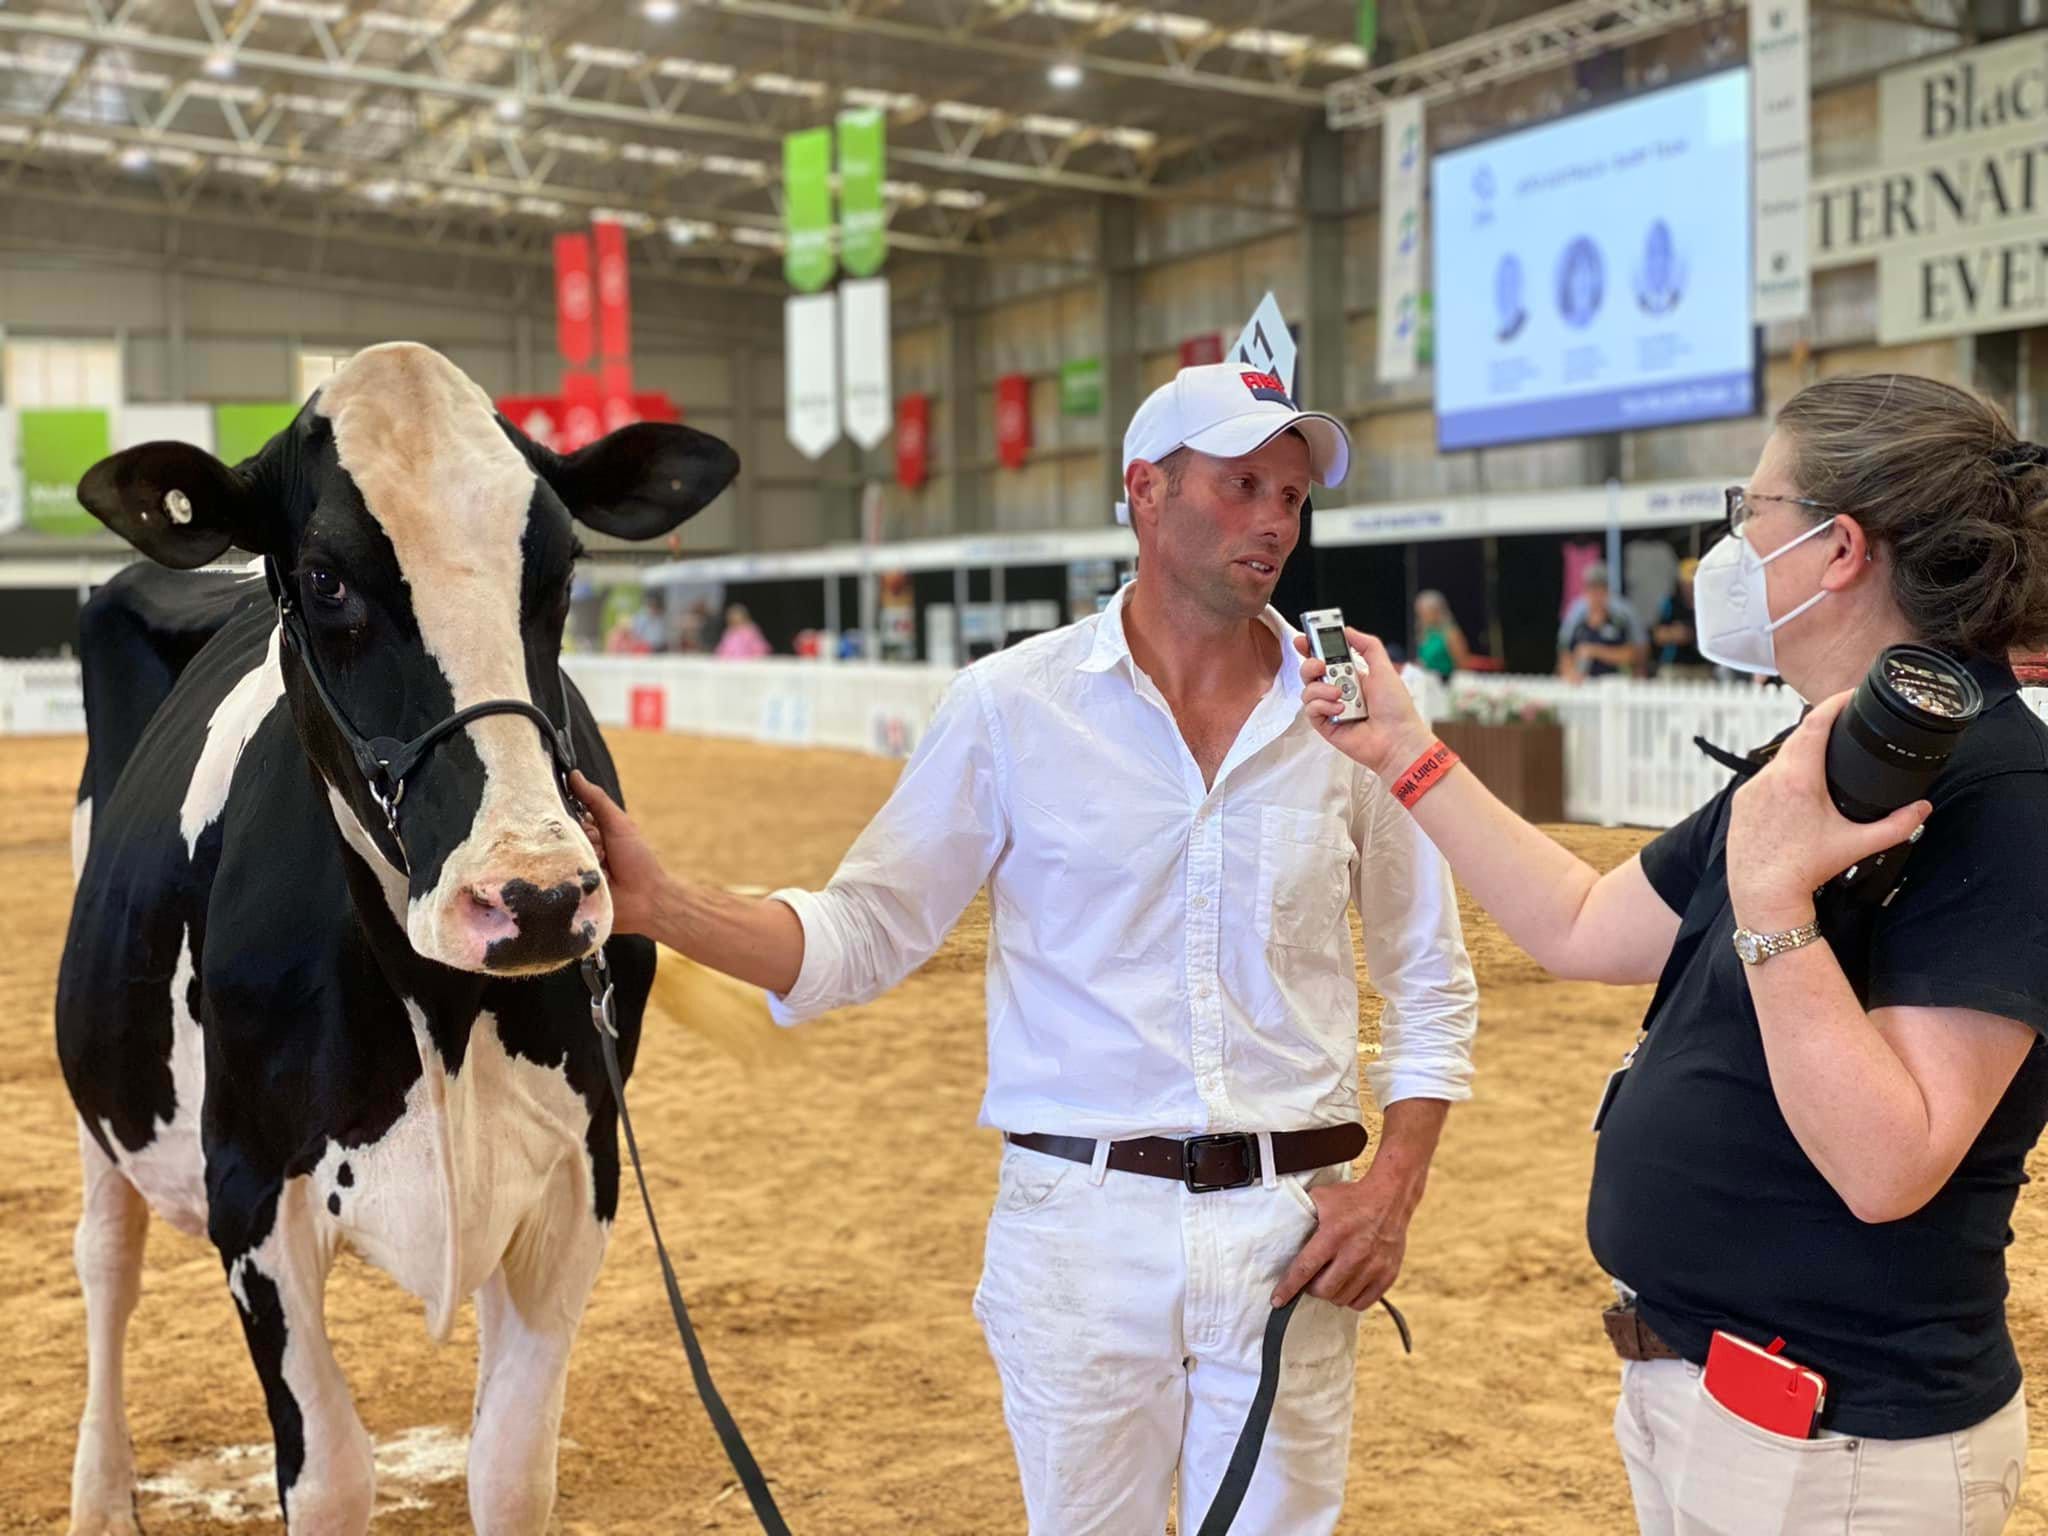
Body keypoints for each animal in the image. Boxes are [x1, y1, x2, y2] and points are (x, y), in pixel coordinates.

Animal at [55, 341, 738, 1535]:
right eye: (327, 579)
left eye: (561, 567)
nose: (537, 897)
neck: (443, 1011)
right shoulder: (249, 1194)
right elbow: (330, 1473)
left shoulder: (583, 1172)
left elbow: (509, 1470)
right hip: (107, 1097)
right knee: (108, 1260)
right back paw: (100, 1493)